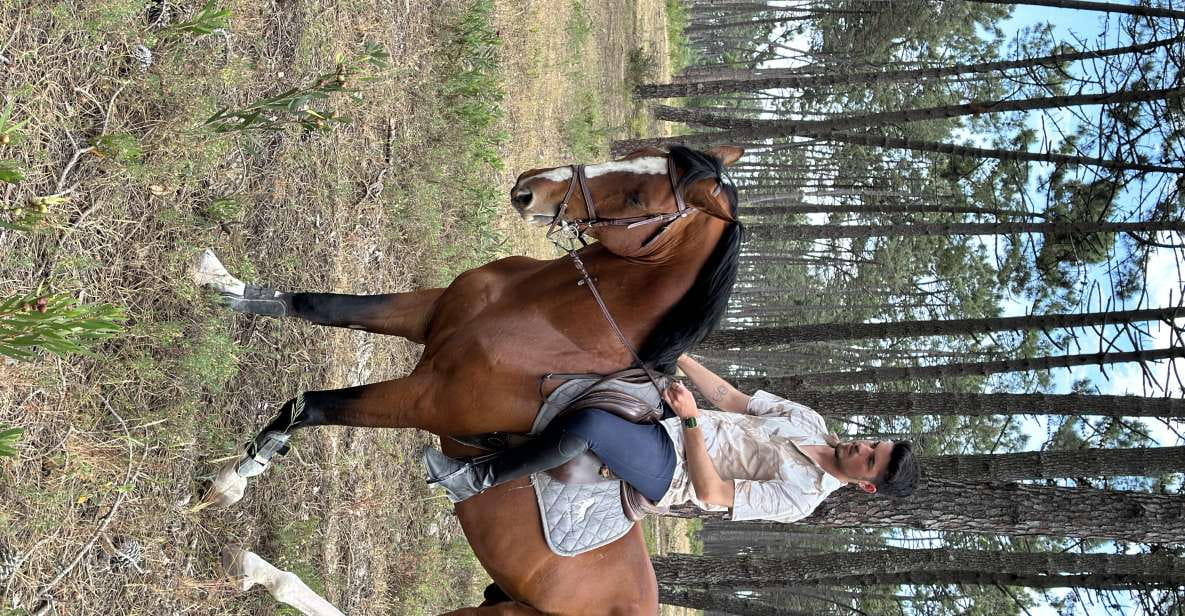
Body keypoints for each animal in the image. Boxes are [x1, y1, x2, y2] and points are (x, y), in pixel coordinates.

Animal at [196, 145, 744, 615]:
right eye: (632, 152)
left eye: (637, 200)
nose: (530, 188)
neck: (544, 318)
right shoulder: (427, 313)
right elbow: (317, 304)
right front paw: (224, 282)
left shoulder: (423, 400)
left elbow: (307, 406)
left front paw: (232, 482)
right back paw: (258, 570)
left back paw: (256, 569)